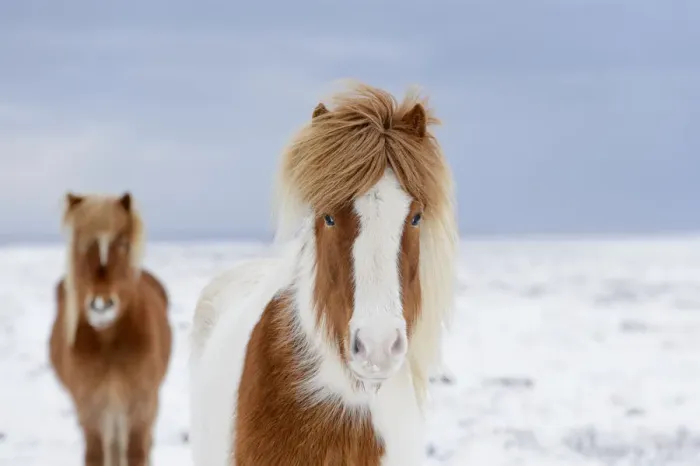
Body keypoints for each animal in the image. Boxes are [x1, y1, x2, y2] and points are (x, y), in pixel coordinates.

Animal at [48, 192, 172, 466]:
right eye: (82, 244)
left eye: (123, 243)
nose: (101, 304)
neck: (108, 341)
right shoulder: (90, 408)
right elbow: (96, 454)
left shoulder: (141, 405)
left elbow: (137, 453)